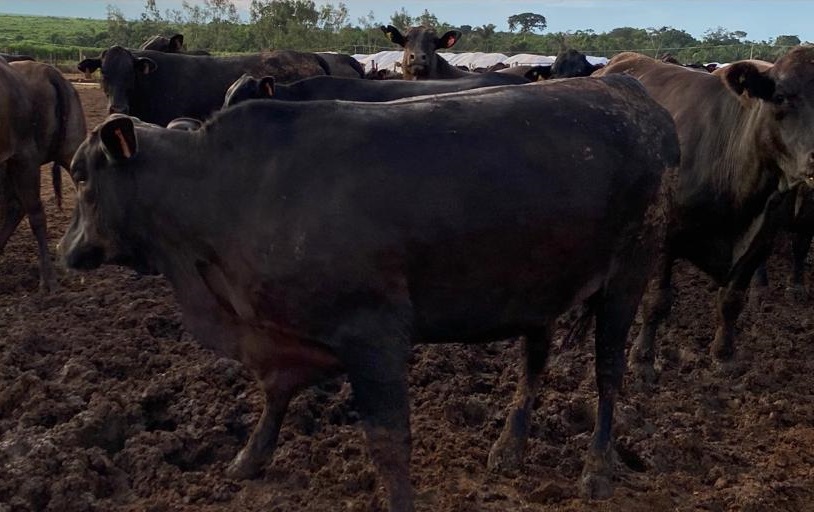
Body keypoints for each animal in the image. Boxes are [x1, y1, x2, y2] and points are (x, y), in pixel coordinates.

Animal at [59, 77, 684, 512]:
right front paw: (249, 458)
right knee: (534, 364)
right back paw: (509, 446)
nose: (68, 249)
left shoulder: (372, 332)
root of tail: (627, 89)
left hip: (630, 274)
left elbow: (388, 440)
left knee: (608, 372)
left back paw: (597, 468)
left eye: (82, 175)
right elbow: (275, 395)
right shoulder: (281, 332)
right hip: (541, 286)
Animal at [592, 49, 814, 376]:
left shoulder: (760, 241)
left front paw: (724, 354)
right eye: (781, 97)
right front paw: (643, 359)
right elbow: (657, 300)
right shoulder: (665, 237)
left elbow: (731, 301)